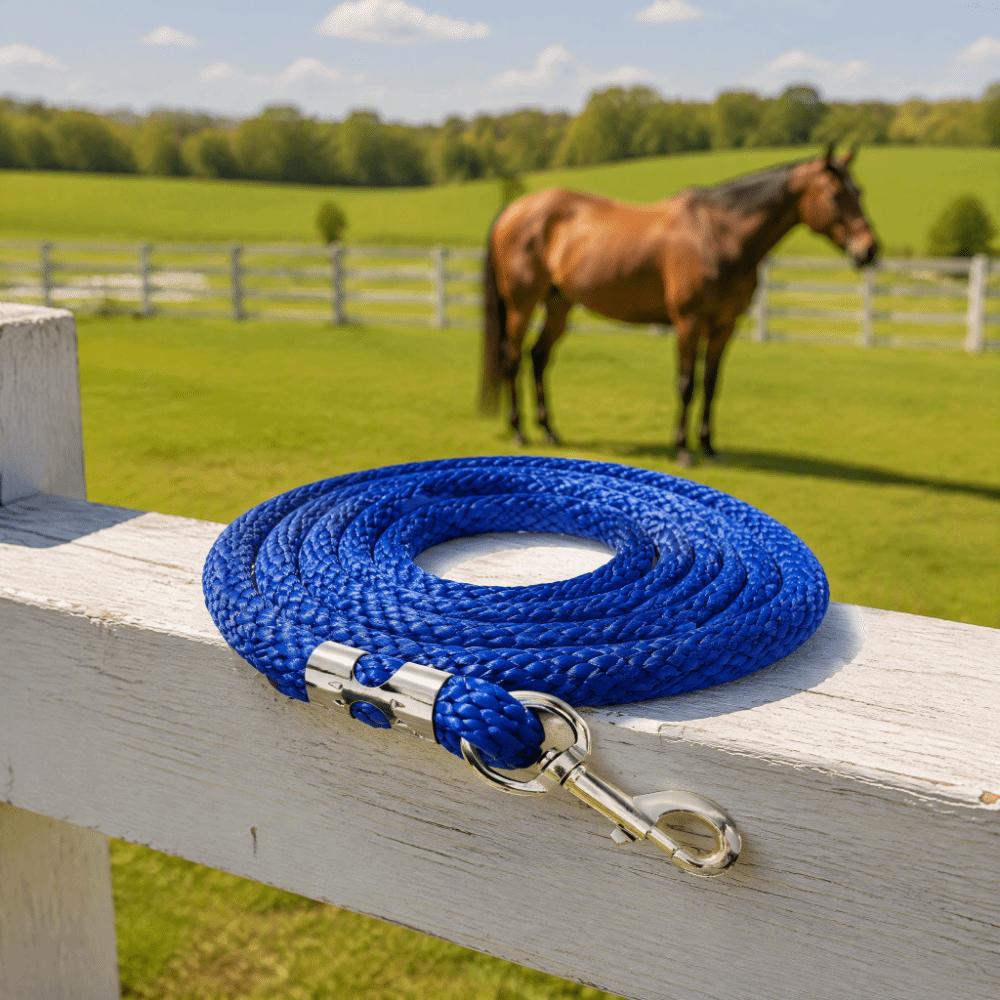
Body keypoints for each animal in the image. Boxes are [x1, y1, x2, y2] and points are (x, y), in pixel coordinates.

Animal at [480, 144, 879, 464]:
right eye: (834, 194)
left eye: (859, 191)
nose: (869, 250)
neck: (717, 235)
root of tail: (513, 211)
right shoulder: (689, 323)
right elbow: (687, 383)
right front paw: (684, 450)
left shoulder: (724, 326)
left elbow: (711, 384)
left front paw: (709, 447)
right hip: (521, 304)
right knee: (512, 357)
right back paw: (519, 432)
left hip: (559, 304)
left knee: (538, 357)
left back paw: (550, 431)